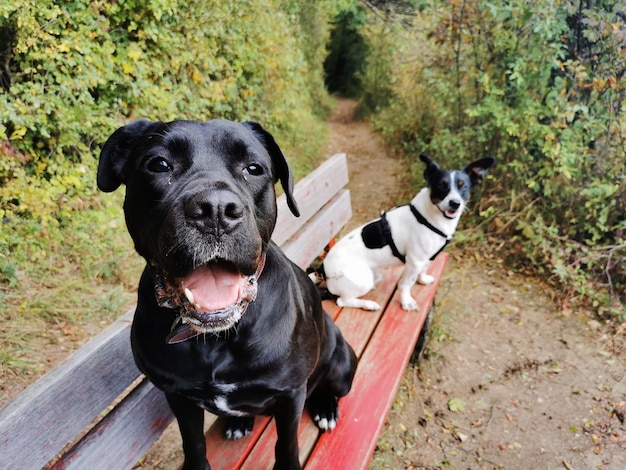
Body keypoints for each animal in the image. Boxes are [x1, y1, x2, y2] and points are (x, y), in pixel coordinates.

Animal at [97, 120, 356, 470]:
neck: (216, 340)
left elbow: (286, 444)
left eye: (254, 168)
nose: (216, 210)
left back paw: (326, 407)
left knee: (329, 386)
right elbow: (193, 443)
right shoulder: (178, 396)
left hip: (341, 364)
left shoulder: (290, 393)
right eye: (159, 164)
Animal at [322, 154, 492, 312]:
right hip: (363, 280)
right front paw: (406, 302)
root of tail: (323, 268)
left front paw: (422, 279)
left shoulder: (426, 257)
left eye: (464, 187)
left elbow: (424, 269)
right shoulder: (415, 261)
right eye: (441, 185)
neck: (429, 217)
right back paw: (368, 304)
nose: (455, 203)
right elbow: (405, 284)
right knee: (342, 301)